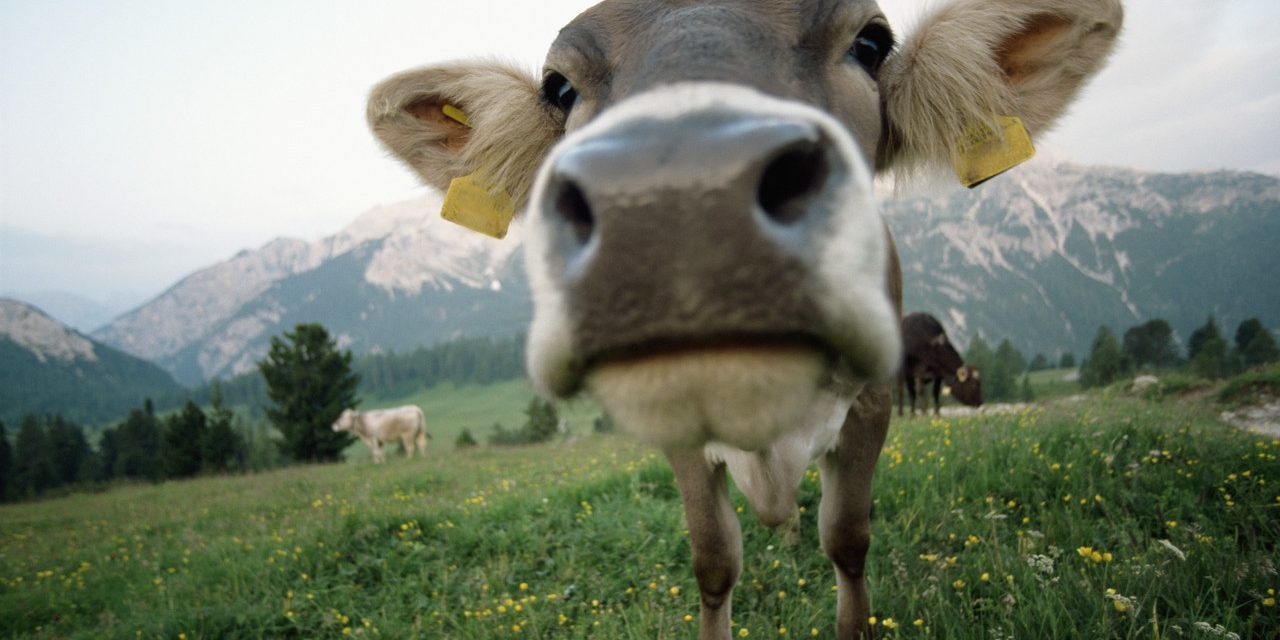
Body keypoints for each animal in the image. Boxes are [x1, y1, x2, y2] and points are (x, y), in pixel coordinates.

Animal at [366, 0, 1121, 636]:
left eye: (871, 43)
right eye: (559, 88)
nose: (676, 194)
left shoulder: (874, 400)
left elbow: (848, 539)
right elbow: (713, 559)